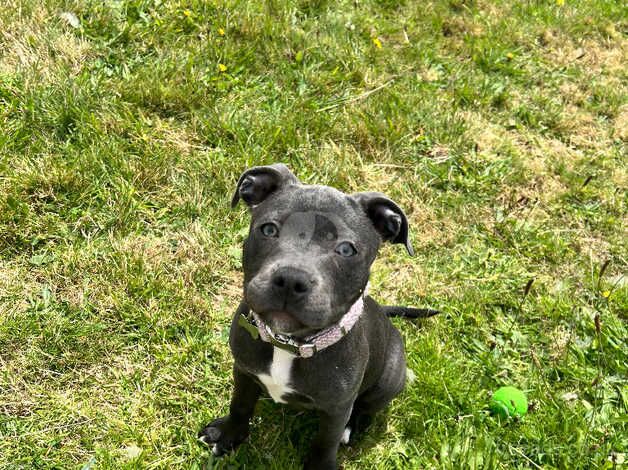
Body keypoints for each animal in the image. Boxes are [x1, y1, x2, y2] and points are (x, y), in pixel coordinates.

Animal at [201, 165, 436, 470]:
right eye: (269, 229)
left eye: (346, 249)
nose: (291, 279)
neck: (288, 343)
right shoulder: (243, 369)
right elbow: (240, 403)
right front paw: (229, 435)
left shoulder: (337, 407)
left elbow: (326, 441)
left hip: (390, 378)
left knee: (365, 408)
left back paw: (353, 427)